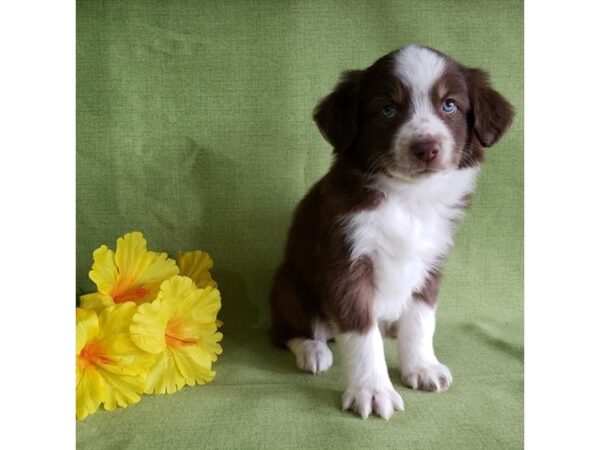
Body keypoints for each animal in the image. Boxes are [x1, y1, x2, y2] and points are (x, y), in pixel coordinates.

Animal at [270, 44, 512, 418]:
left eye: (449, 105)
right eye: (387, 109)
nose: (426, 148)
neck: (408, 198)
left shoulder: (431, 261)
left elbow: (422, 320)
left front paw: (422, 366)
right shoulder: (346, 260)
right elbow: (362, 333)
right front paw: (371, 390)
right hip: (289, 283)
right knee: (286, 331)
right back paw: (312, 350)